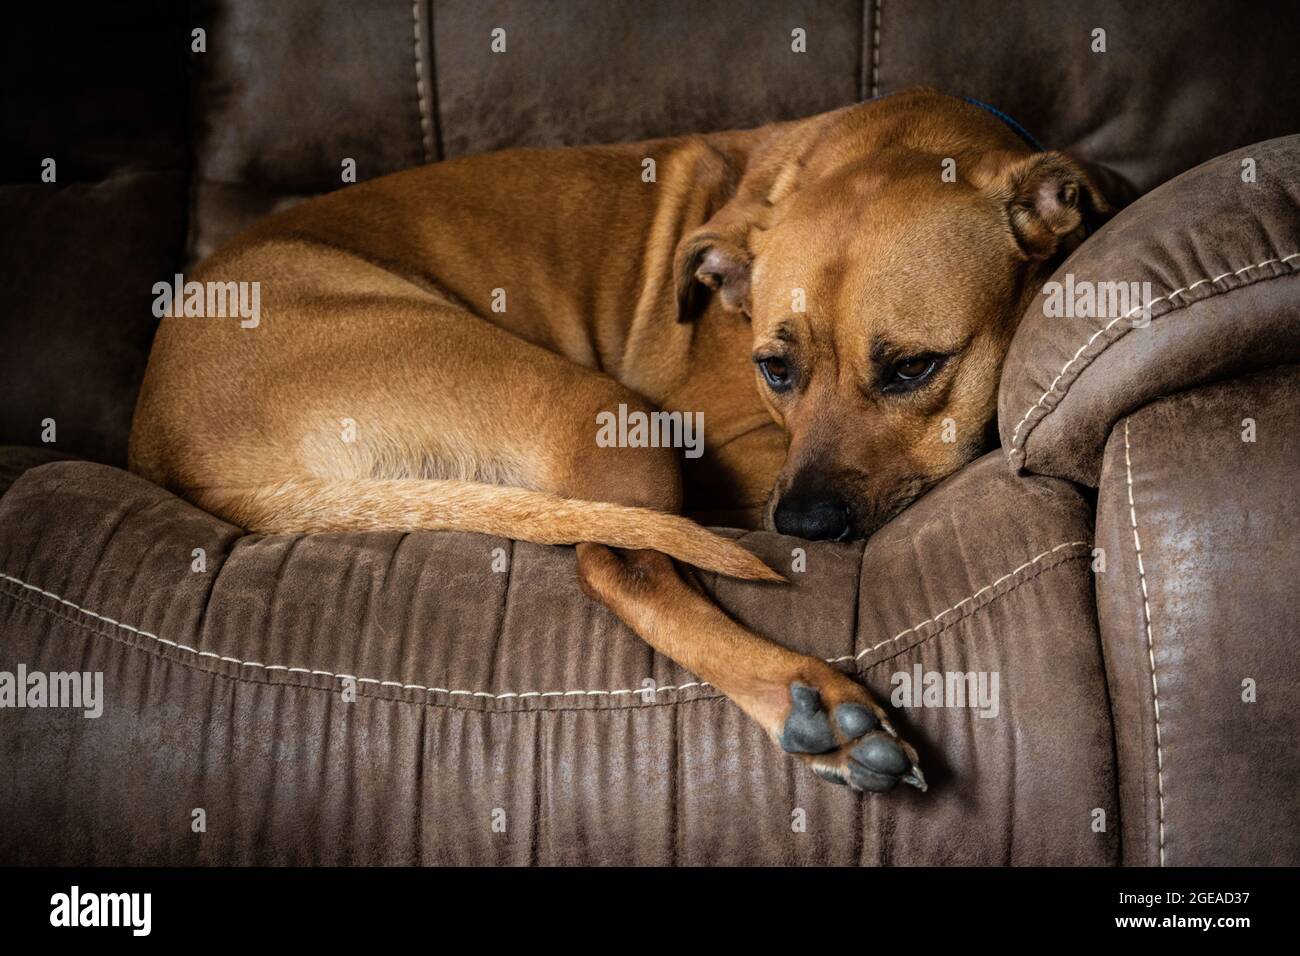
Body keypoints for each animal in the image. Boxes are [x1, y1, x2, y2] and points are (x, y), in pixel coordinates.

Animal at [131, 87, 1107, 790]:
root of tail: (168, 440)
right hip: (606, 414)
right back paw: (813, 702)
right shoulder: (719, 440)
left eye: (912, 368)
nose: (801, 526)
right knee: (618, 563)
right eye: (774, 369)